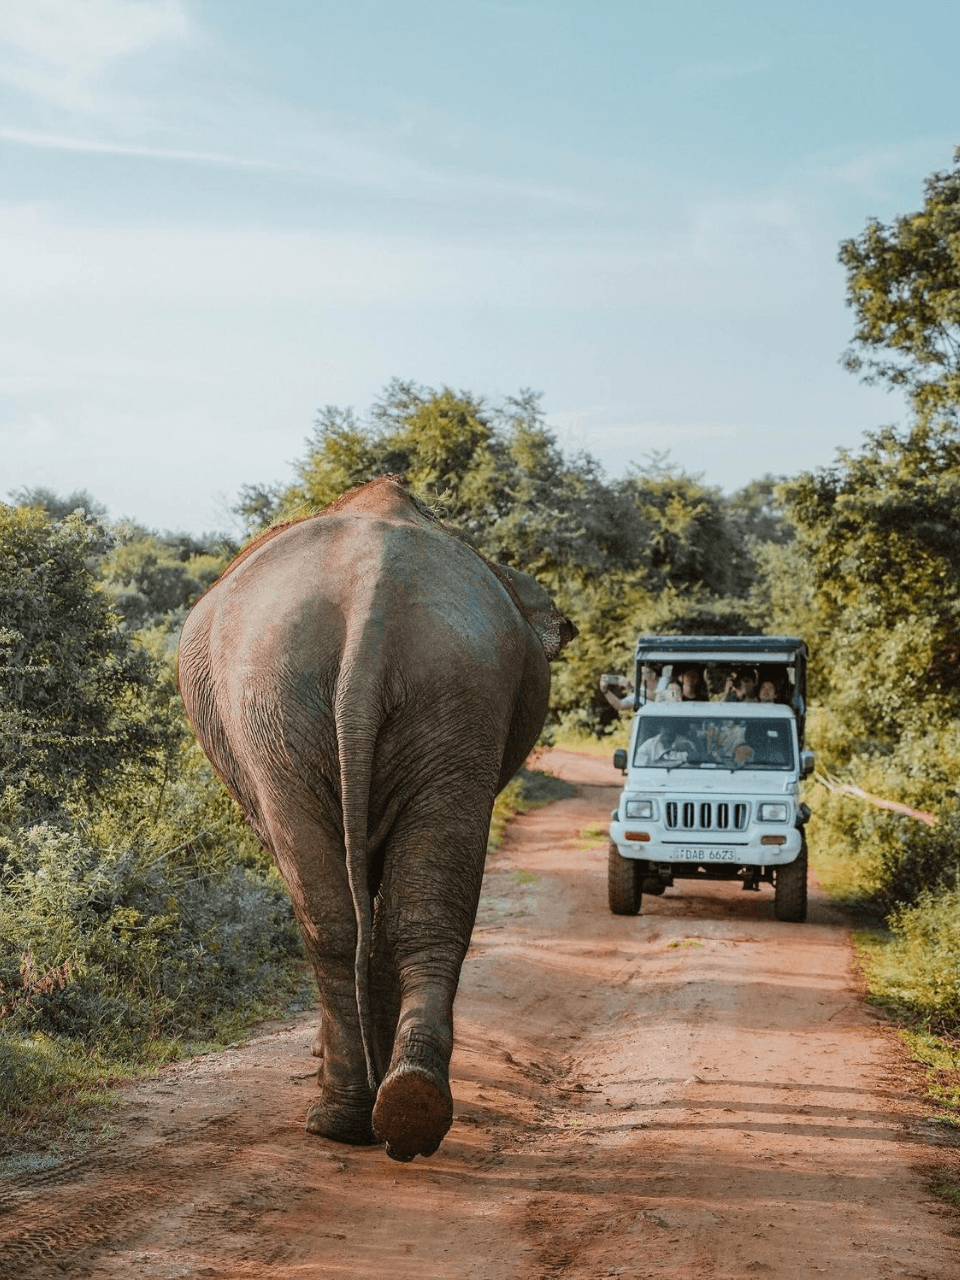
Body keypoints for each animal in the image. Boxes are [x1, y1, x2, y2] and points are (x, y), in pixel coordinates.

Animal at [177, 476, 577, 1162]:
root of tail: (373, 602)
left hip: (282, 705)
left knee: (334, 913)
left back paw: (343, 1119)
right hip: (440, 687)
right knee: (410, 914)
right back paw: (408, 1104)